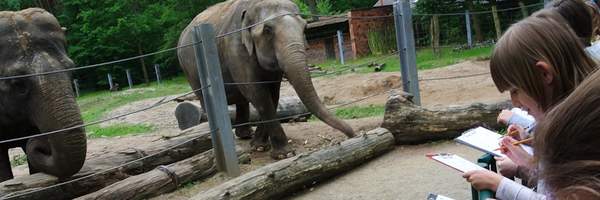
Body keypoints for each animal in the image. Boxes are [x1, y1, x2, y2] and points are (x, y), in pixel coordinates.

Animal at [178, 0, 356, 159]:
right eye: (267, 30)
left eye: (305, 27)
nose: (352, 135)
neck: (253, 5)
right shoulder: (235, 50)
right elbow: (257, 93)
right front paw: (284, 154)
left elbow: (273, 94)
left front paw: (258, 146)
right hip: (190, 70)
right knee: (207, 102)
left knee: (242, 101)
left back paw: (245, 134)